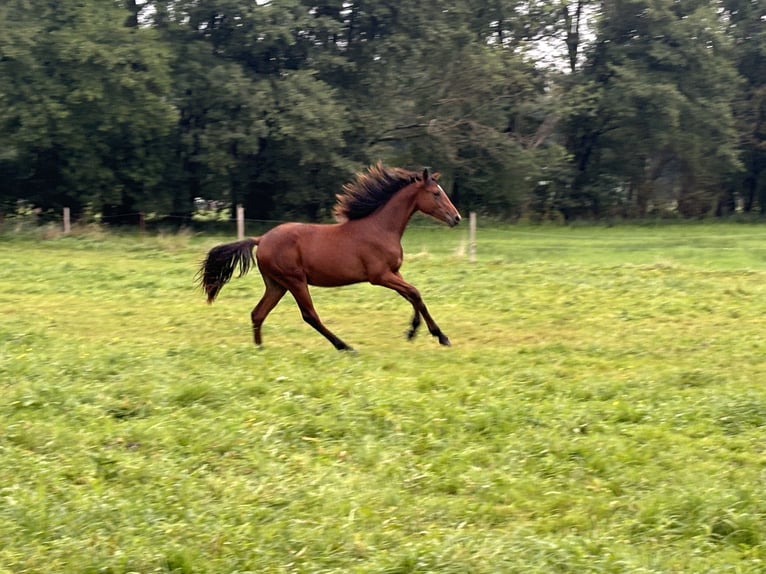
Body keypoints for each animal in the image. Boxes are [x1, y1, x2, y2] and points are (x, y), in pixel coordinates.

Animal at [198, 162, 462, 352]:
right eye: (435, 193)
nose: (456, 218)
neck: (381, 228)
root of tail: (261, 239)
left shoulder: (394, 272)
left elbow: (413, 296)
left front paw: (415, 331)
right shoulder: (380, 276)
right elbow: (415, 293)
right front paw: (439, 335)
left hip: (276, 284)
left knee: (258, 313)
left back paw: (260, 349)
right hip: (295, 281)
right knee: (310, 315)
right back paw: (345, 346)